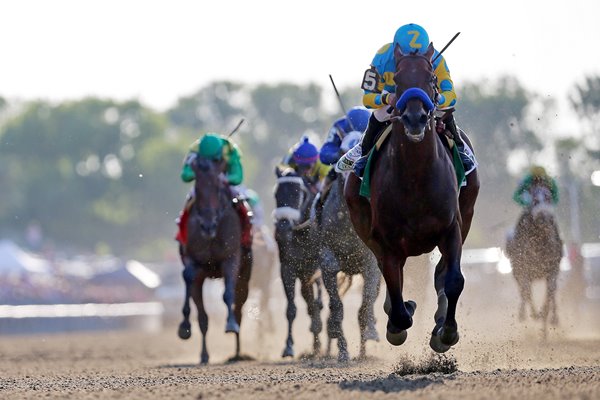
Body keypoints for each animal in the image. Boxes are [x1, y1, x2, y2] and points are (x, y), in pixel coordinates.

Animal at [178, 158, 253, 364]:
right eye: (197, 185)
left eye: (218, 186)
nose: (207, 225)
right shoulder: (193, 258)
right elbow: (188, 277)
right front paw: (184, 326)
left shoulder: (231, 258)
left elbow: (228, 295)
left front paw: (230, 325)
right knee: (203, 317)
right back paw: (205, 355)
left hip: (245, 276)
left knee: (239, 308)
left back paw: (237, 353)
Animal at [274, 167, 324, 358]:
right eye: (276, 193)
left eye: (299, 193)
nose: (282, 228)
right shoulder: (287, 267)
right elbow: (291, 309)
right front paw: (288, 346)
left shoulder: (316, 265)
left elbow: (317, 303)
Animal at [318, 170, 380, 360]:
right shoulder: (328, 260)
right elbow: (337, 307)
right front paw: (342, 350)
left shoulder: (370, 263)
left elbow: (366, 304)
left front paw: (370, 334)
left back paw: (364, 350)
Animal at [344, 42, 480, 352]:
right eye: (397, 80)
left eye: (431, 79)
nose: (415, 118)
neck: (417, 178)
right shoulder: (386, 240)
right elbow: (395, 290)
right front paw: (398, 321)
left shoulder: (452, 227)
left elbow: (453, 280)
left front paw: (446, 332)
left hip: (467, 213)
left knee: (441, 273)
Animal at [506, 183, 564, 330]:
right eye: (535, 200)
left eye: (548, 198)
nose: (544, 215)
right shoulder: (524, 268)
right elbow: (526, 291)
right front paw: (535, 314)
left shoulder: (553, 267)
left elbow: (551, 290)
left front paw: (548, 316)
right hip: (517, 271)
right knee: (524, 291)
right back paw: (523, 314)